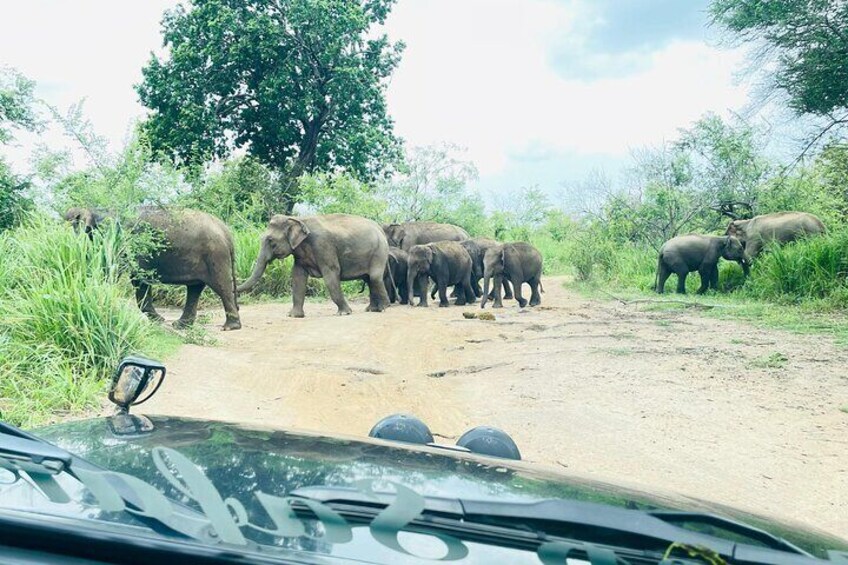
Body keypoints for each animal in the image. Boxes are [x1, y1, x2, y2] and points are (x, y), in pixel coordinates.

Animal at [63, 206, 240, 330]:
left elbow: (133, 277)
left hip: (215, 255)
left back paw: (229, 327)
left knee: (221, 285)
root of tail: (226, 232)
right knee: (195, 288)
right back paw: (180, 326)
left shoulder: (127, 243)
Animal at [235, 213, 388, 318]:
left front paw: (345, 313)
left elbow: (331, 274)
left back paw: (384, 308)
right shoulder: (299, 254)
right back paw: (372, 309)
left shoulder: (323, 245)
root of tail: (380, 229)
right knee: (369, 279)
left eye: (271, 240)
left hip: (379, 251)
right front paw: (294, 315)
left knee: (374, 278)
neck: (298, 219)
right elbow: (297, 277)